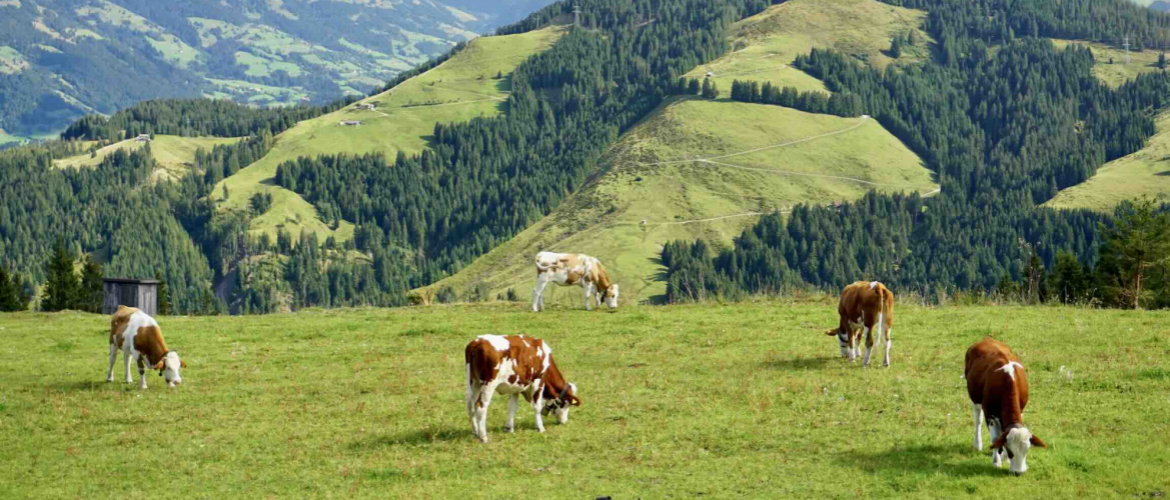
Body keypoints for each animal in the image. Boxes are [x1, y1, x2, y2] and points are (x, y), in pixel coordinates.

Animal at [965, 338, 1046, 475]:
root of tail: (986, 339)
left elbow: (1003, 434)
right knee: (977, 420)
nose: (1018, 472)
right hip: (974, 398)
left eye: (1027, 450)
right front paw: (996, 461)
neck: (1009, 382)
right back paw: (977, 444)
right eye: (1010, 451)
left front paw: (1004, 458)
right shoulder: (990, 413)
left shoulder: (1020, 408)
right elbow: (995, 438)